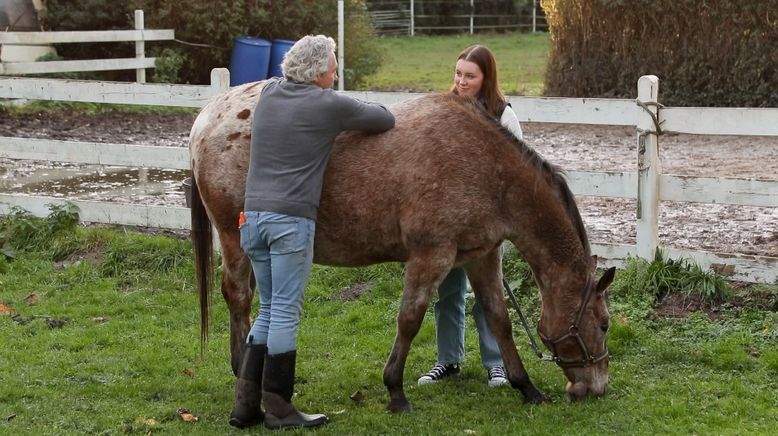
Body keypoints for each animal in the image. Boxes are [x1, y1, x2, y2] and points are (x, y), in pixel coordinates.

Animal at [188, 82, 612, 412]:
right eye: (605, 324)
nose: (596, 388)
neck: (487, 168)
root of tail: (207, 116)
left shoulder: (482, 257)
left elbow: (498, 320)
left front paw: (527, 387)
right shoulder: (431, 256)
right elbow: (409, 320)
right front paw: (395, 391)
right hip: (234, 238)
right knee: (238, 296)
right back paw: (242, 371)